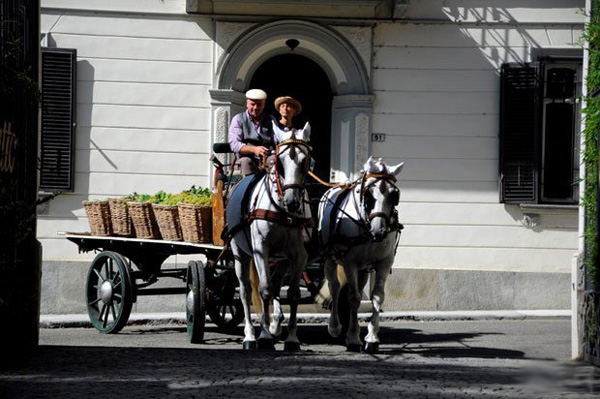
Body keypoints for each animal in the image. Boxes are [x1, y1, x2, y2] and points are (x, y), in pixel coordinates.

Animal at [230, 121, 314, 350]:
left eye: (305, 161)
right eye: (280, 162)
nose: (292, 202)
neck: (282, 211)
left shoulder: (299, 255)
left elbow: (292, 294)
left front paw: (292, 338)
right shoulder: (261, 250)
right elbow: (265, 290)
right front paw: (264, 335)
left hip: (281, 260)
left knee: (277, 285)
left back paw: (276, 324)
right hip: (240, 254)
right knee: (245, 291)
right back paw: (250, 334)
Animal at [318, 156, 404, 354]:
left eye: (394, 195)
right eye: (368, 193)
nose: (379, 232)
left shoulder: (384, 263)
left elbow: (377, 297)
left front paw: (371, 338)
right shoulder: (350, 263)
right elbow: (353, 298)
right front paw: (352, 338)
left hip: (364, 270)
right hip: (330, 259)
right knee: (335, 288)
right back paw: (335, 327)